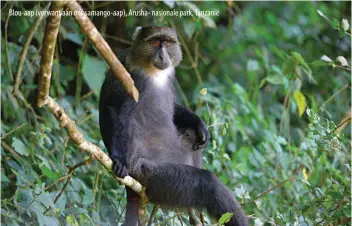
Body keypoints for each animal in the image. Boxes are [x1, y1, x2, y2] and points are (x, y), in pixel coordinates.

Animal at [97, 25, 249, 225]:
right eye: (155, 42)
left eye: (168, 44)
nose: (163, 56)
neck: (152, 71)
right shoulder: (128, 75)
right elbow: (113, 109)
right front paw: (118, 159)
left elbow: (176, 108)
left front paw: (199, 124)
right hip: (152, 177)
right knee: (207, 184)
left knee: (192, 136)